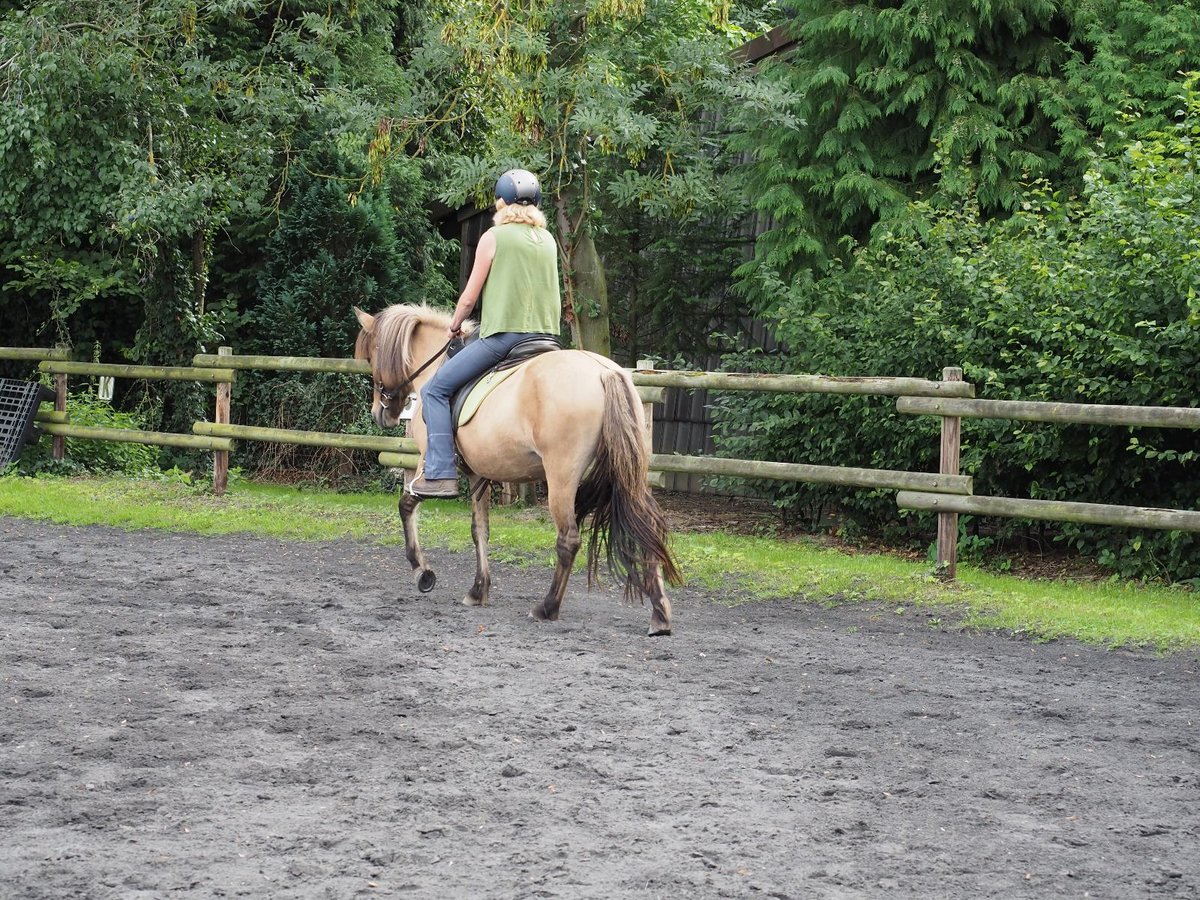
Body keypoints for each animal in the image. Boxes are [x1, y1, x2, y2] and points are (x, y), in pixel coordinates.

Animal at [350, 307, 681, 638]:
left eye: (372, 357)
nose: (379, 413)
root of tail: (604, 372)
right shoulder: (478, 473)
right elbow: (479, 530)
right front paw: (478, 590)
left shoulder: (429, 464)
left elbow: (406, 506)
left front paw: (422, 572)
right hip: (630, 472)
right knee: (646, 526)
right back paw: (660, 615)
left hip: (561, 476)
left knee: (569, 539)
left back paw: (547, 608)